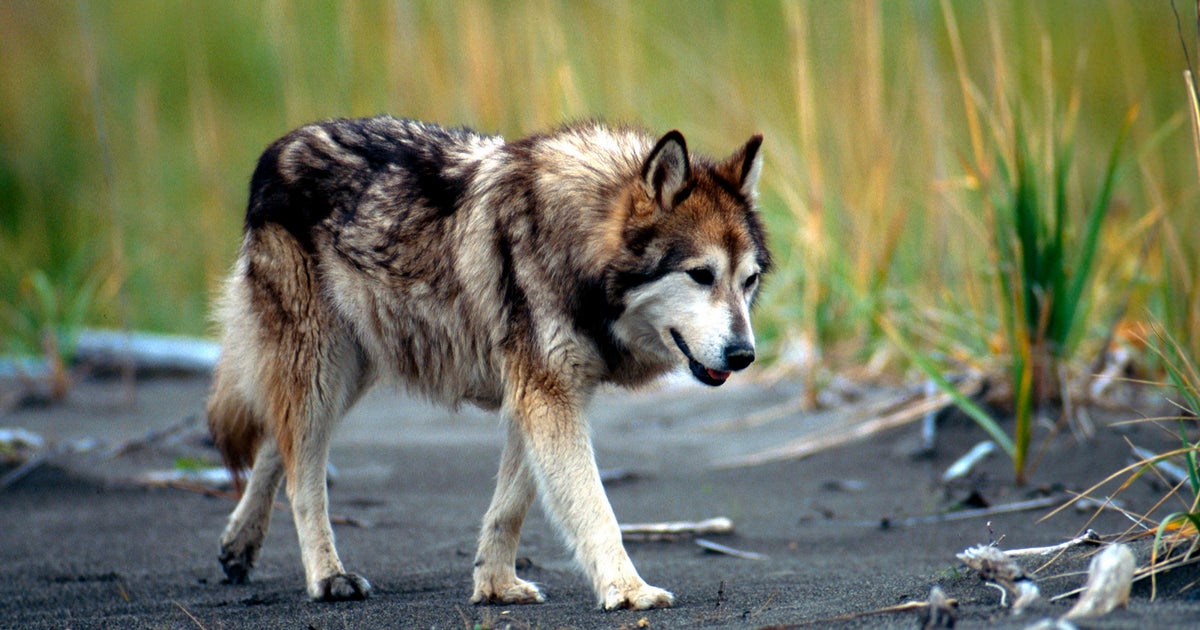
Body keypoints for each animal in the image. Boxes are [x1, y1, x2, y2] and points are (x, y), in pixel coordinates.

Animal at [205, 116, 771, 610]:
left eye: (748, 281)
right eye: (701, 275)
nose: (744, 355)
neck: (573, 243)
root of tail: (280, 146)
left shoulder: (543, 394)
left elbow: (510, 507)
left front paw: (496, 587)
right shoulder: (548, 395)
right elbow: (595, 509)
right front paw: (629, 592)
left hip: (352, 370)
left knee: (278, 445)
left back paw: (239, 547)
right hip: (324, 369)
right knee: (303, 475)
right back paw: (328, 578)